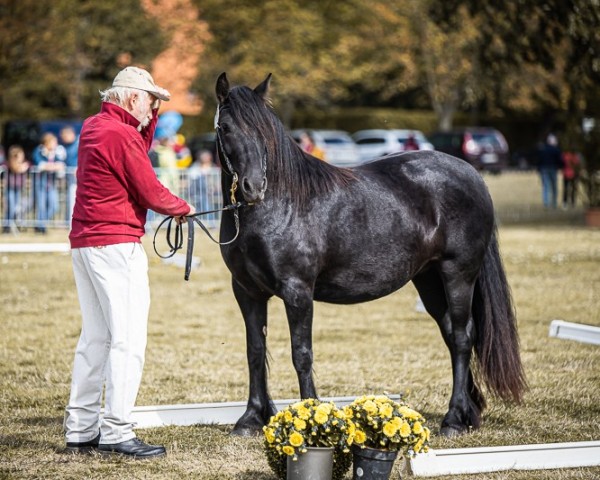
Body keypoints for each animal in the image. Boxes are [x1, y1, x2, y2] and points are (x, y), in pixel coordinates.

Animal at [216, 73, 524, 436]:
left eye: (263, 129)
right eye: (225, 128)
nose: (253, 188)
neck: (280, 205)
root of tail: (472, 174)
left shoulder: (297, 291)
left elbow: (301, 354)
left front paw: (309, 419)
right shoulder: (247, 292)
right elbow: (255, 351)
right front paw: (251, 418)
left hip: (458, 275)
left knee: (463, 338)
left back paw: (452, 420)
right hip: (429, 280)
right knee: (452, 334)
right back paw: (468, 414)